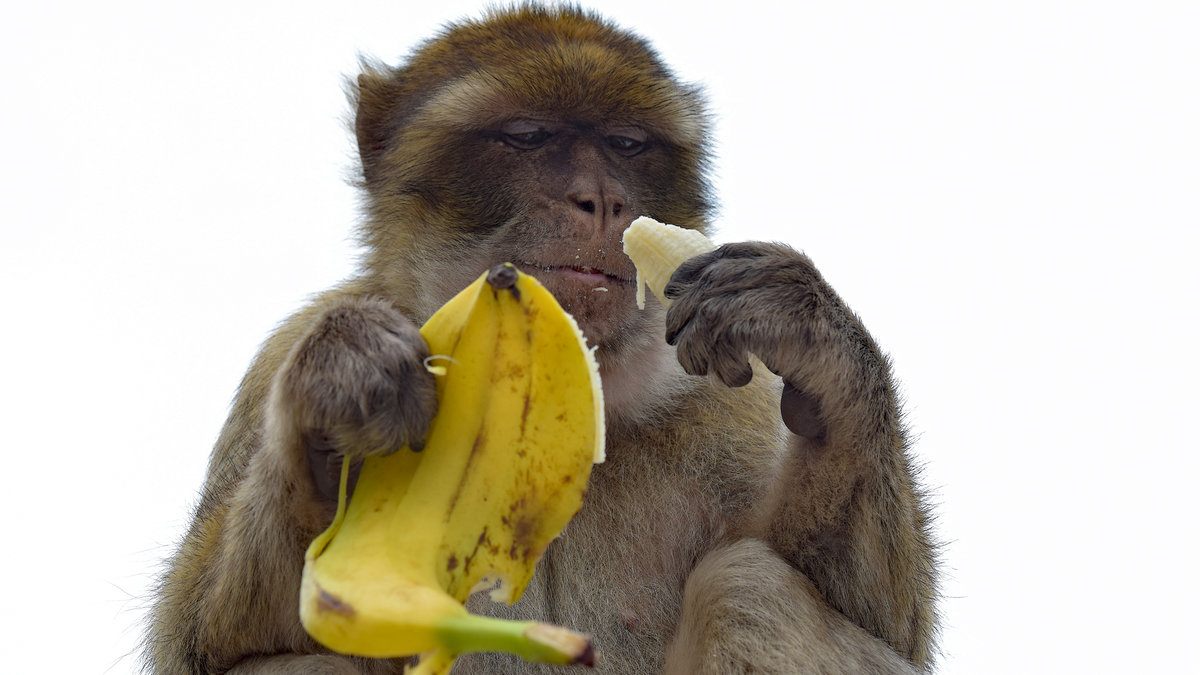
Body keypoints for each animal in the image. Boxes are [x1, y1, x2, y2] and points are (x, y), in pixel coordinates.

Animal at [145, 5, 936, 672]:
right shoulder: (277, 360)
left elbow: (887, 623)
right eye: (527, 137)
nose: (602, 199)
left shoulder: (729, 392)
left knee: (751, 589)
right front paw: (337, 398)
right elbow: (204, 639)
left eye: (627, 143)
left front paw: (815, 343)